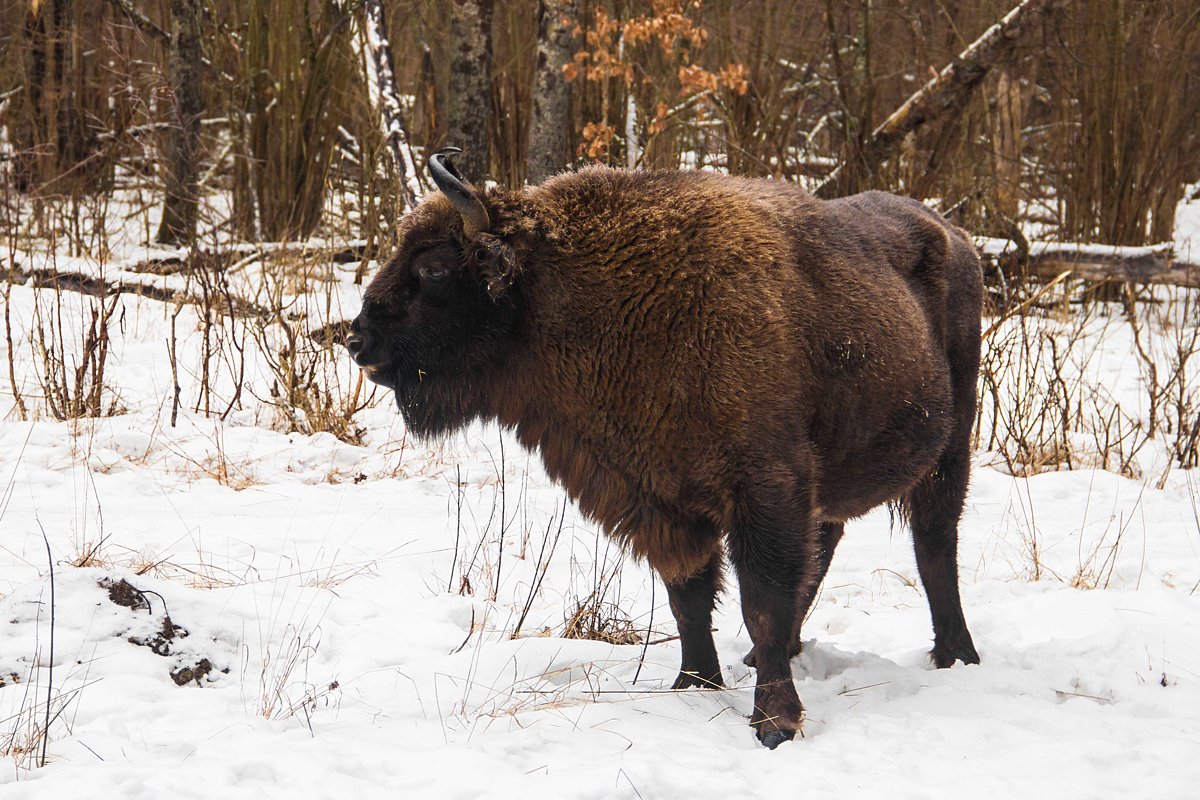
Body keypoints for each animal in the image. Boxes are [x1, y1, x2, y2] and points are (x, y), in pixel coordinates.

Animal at [343, 151, 979, 753]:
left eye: (433, 268)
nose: (357, 339)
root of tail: (956, 235)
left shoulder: (766, 490)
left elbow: (761, 603)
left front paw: (775, 724)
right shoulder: (655, 498)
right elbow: (689, 597)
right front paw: (693, 683)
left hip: (950, 449)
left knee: (934, 544)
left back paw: (956, 655)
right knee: (833, 541)